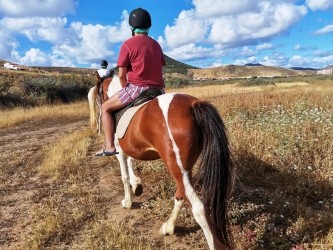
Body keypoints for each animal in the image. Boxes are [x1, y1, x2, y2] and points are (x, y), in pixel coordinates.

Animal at [87, 75, 233, 249]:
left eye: (99, 93)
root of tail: (192, 105)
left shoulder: (119, 151)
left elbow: (124, 176)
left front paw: (128, 201)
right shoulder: (130, 149)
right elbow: (130, 164)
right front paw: (137, 185)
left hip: (175, 166)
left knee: (198, 207)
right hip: (183, 168)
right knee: (181, 194)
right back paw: (169, 227)